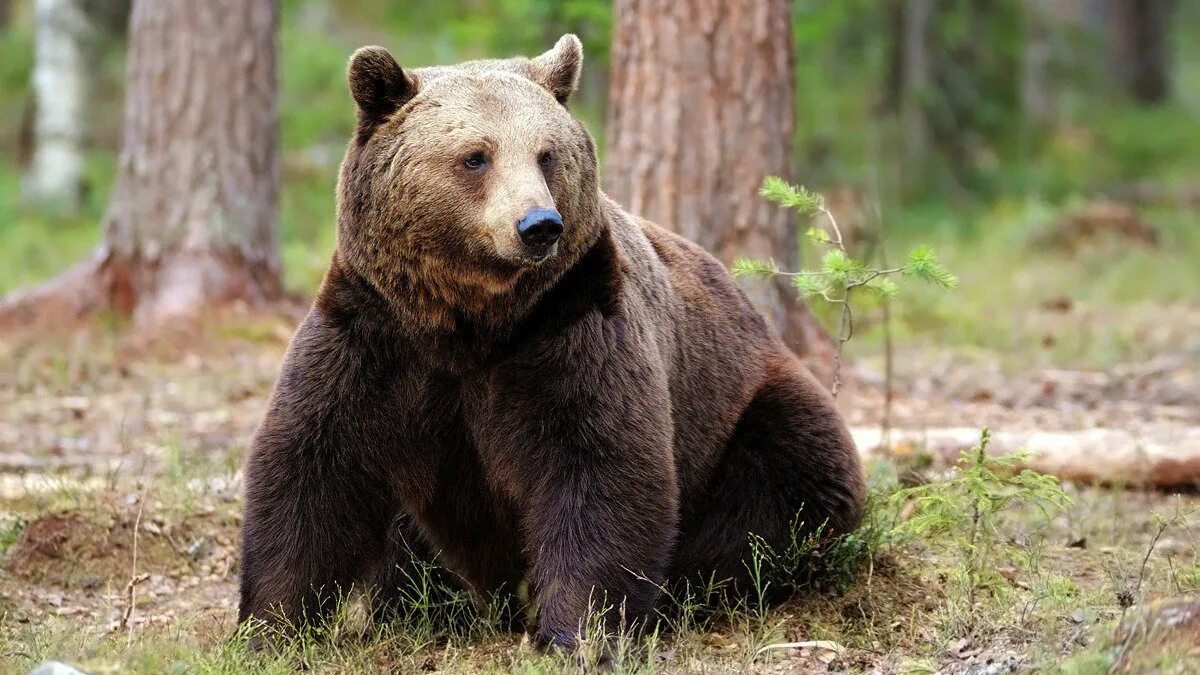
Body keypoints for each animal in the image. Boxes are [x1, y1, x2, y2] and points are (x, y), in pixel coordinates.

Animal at [241, 35, 864, 648]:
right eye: (476, 155)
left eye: (546, 153)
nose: (539, 224)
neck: (469, 320)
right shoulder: (375, 332)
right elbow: (315, 466)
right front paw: (271, 625)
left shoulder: (569, 324)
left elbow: (597, 465)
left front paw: (578, 629)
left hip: (745, 407)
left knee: (782, 482)